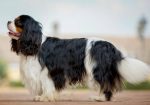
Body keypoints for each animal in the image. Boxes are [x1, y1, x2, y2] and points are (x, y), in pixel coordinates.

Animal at [7, 14, 150, 101]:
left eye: (18, 22)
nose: (8, 21)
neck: (35, 44)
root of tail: (110, 46)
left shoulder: (49, 71)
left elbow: (47, 84)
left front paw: (45, 98)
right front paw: (42, 96)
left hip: (97, 70)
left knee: (106, 85)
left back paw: (100, 98)